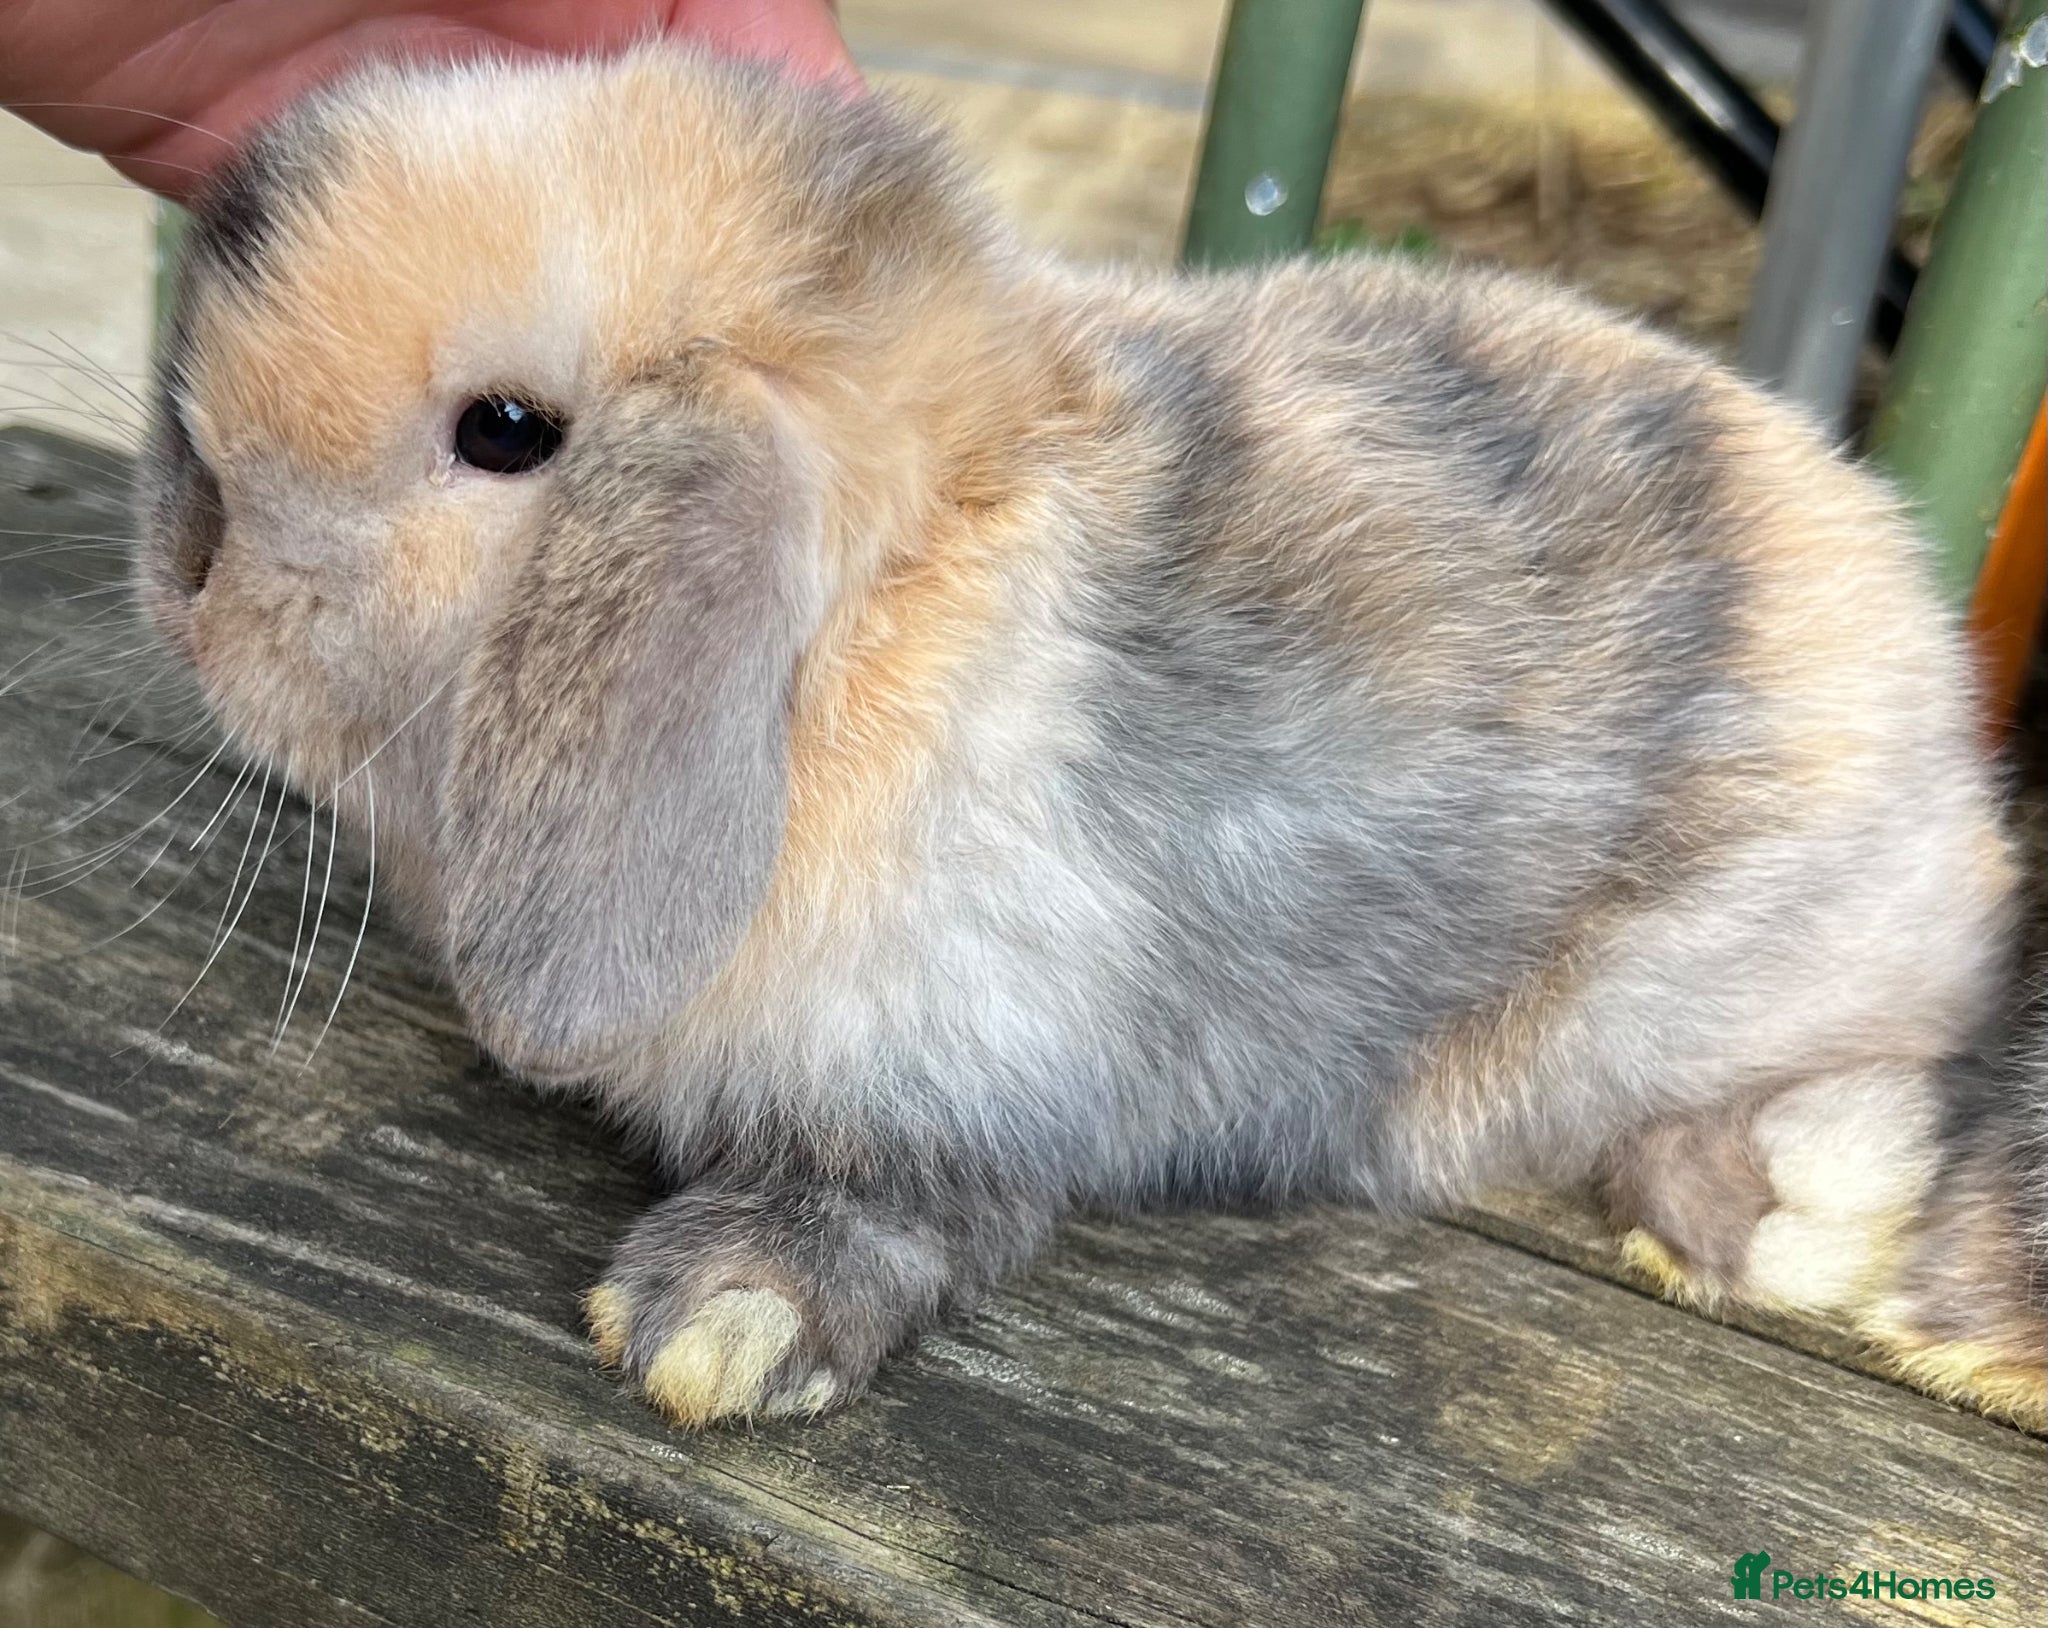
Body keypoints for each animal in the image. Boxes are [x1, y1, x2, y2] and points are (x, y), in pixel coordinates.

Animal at [135, 41, 2045, 1430]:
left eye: (509, 431)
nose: (192, 543)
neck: (877, 617)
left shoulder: (977, 1070)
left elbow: (907, 1203)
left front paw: (714, 1326)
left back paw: (1770, 1211)